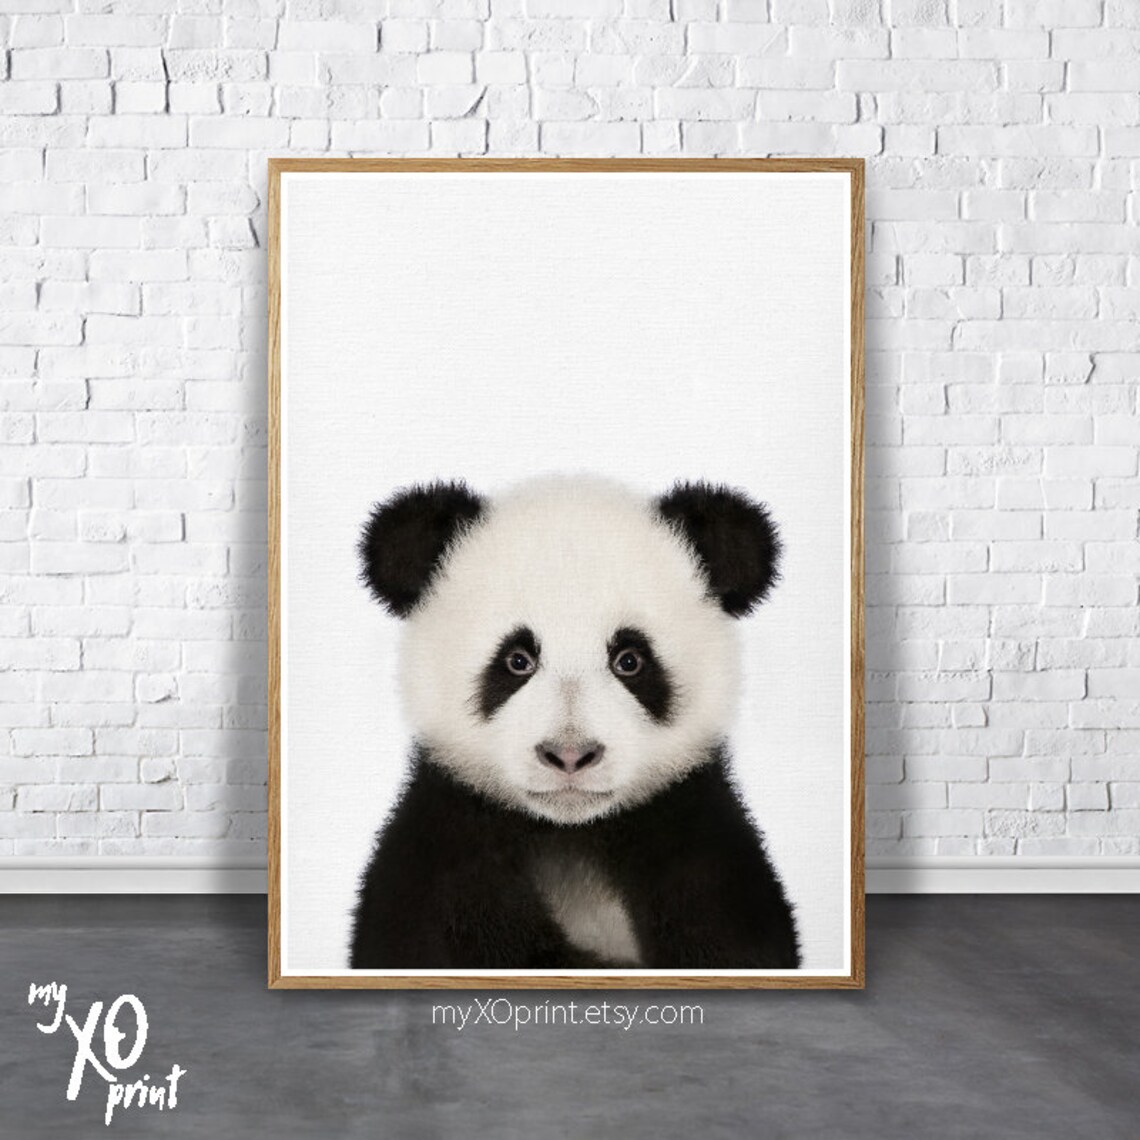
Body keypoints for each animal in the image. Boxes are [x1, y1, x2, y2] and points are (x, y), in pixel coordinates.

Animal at [348, 475, 800, 970]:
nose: (569, 754)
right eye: (517, 660)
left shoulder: (695, 840)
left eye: (630, 660)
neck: (571, 833)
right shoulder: (444, 846)